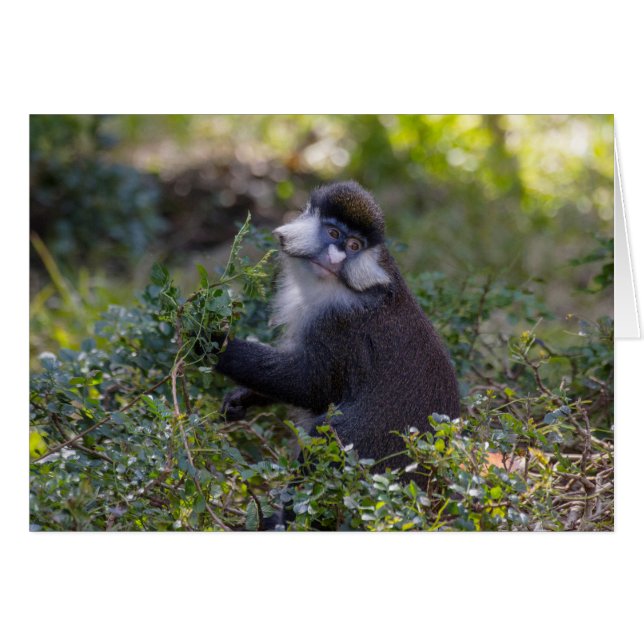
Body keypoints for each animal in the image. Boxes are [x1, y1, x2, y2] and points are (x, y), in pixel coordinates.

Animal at [213, 181, 460, 482]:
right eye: (333, 233)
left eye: (354, 246)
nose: (334, 257)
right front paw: (242, 397)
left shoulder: (339, 323)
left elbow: (310, 384)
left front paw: (213, 343)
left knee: (332, 428)